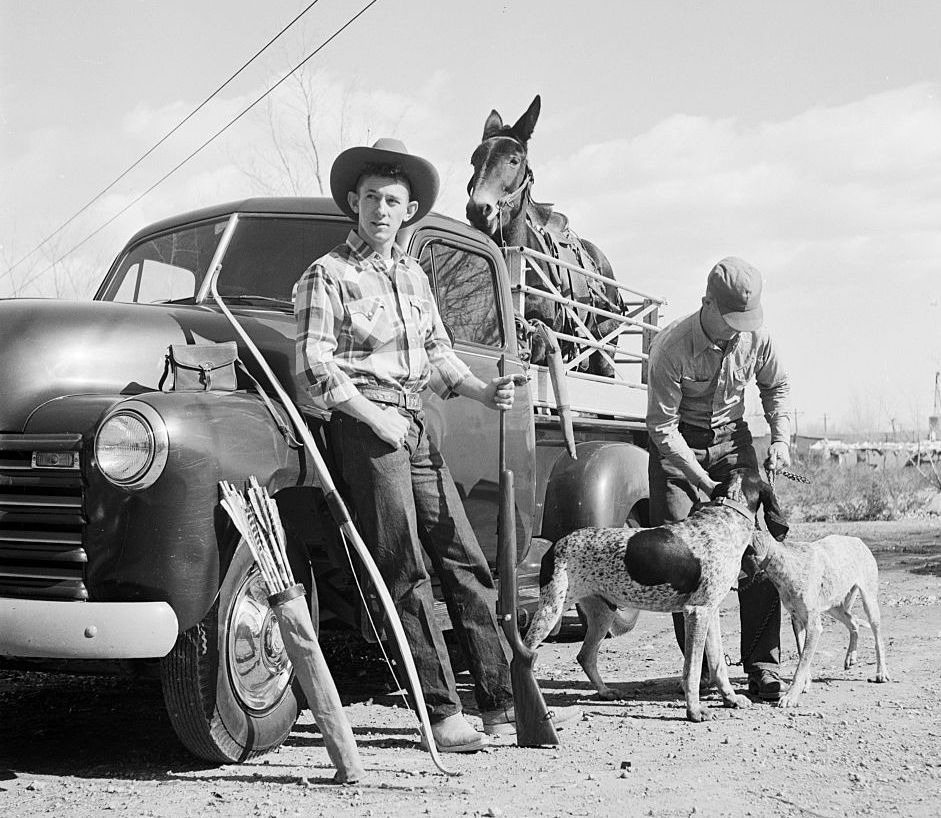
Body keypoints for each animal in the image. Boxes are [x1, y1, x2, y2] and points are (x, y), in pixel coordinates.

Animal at [524, 470, 788, 722]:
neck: (727, 516)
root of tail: (554, 545)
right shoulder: (696, 612)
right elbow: (692, 671)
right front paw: (695, 711)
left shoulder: (709, 612)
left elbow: (717, 664)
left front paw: (730, 699)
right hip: (550, 610)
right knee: (525, 653)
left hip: (602, 613)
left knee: (585, 656)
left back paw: (605, 691)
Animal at [745, 531, 890, 708]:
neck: (785, 564)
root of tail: (858, 540)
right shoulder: (797, 621)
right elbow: (802, 655)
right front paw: (804, 684)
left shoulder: (813, 626)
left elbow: (802, 664)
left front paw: (791, 696)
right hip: (835, 607)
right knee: (854, 623)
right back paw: (851, 657)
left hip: (869, 602)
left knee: (878, 640)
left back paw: (881, 672)